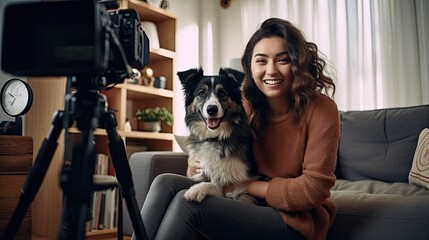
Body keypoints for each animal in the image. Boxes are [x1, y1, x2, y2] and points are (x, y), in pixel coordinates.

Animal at [176, 67, 256, 204]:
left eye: (223, 93)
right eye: (201, 93)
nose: (212, 109)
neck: (215, 138)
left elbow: (217, 185)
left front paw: (196, 190)